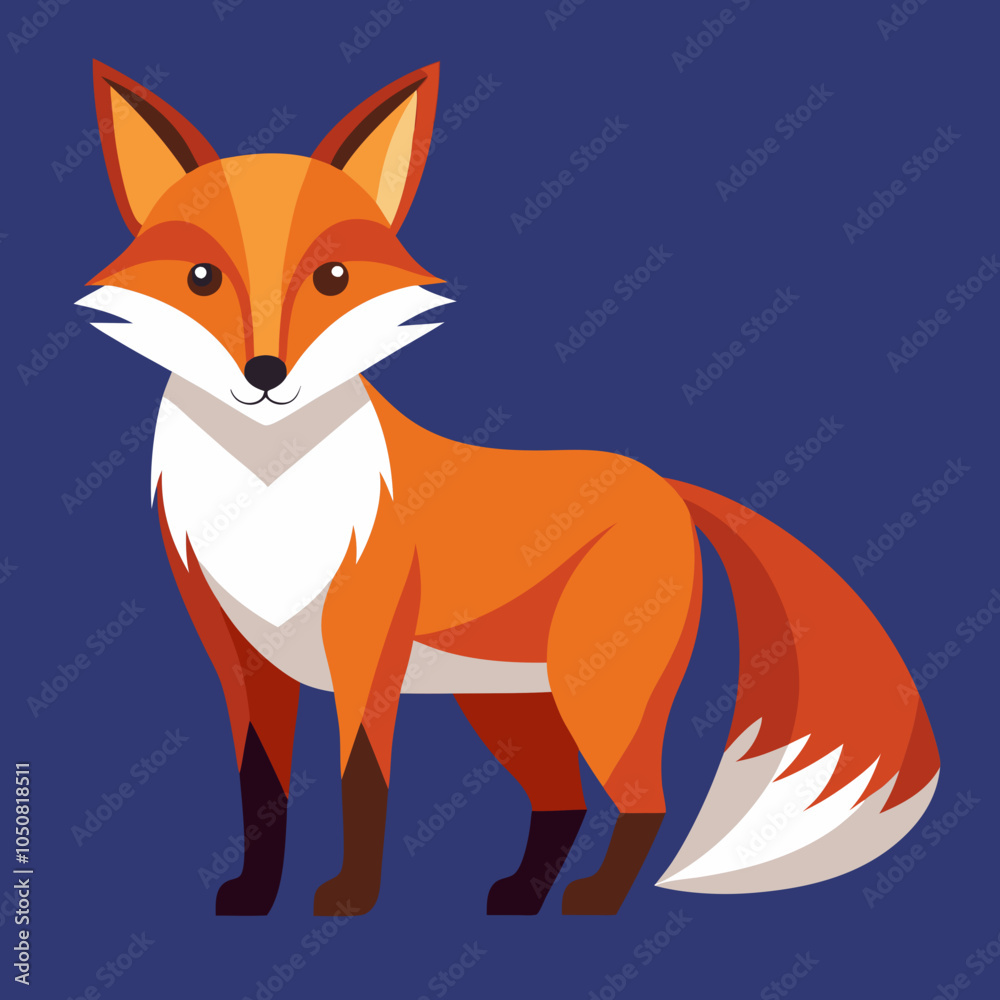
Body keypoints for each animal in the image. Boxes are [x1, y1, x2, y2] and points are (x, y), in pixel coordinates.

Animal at [80, 60, 940, 917]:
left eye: (332, 278)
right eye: (201, 277)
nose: (266, 374)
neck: (265, 493)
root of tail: (664, 483)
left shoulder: (365, 652)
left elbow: (362, 781)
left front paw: (354, 897)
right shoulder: (238, 659)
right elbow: (262, 790)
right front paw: (256, 896)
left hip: (598, 694)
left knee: (645, 800)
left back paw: (596, 900)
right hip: (509, 706)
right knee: (566, 800)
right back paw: (524, 895)